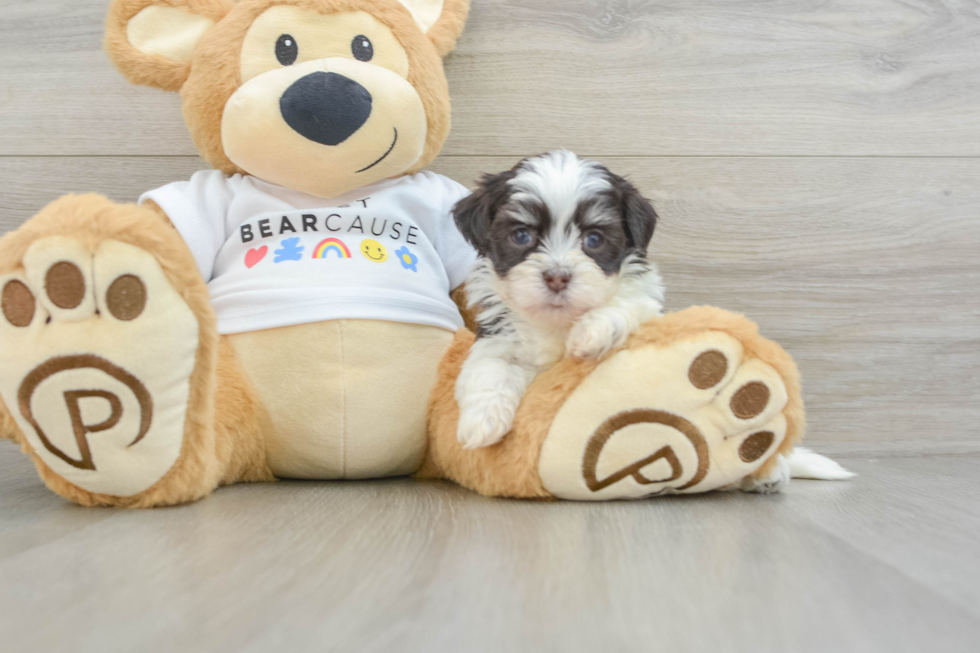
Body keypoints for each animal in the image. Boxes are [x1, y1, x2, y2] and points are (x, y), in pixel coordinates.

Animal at [452, 152, 668, 448]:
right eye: (521, 235)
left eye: (594, 239)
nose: (556, 277)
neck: (555, 323)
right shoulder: (496, 336)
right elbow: (489, 365)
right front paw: (482, 420)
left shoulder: (649, 304)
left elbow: (629, 300)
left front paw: (593, 330)